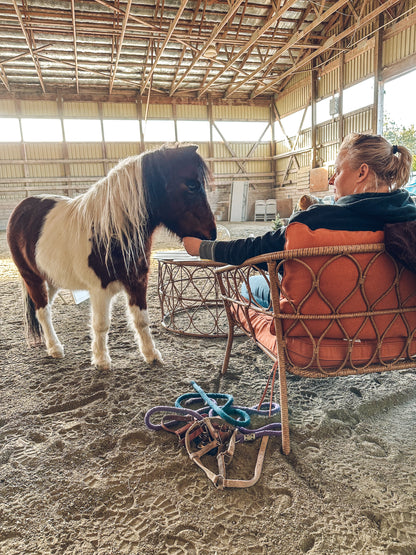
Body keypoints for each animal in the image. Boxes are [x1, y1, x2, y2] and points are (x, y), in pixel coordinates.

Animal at [6, 143, 216, 370]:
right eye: (192, 186)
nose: (211, 234)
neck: (110, 232)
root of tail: (22, 207)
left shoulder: (137, 283)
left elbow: (141, 320)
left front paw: (151, 355)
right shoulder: (100, 289)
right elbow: (101, 324)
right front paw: (101, 361)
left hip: (52, 280)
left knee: (45, 309)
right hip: (32, 277)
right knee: (42, 311)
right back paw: (55, 349)